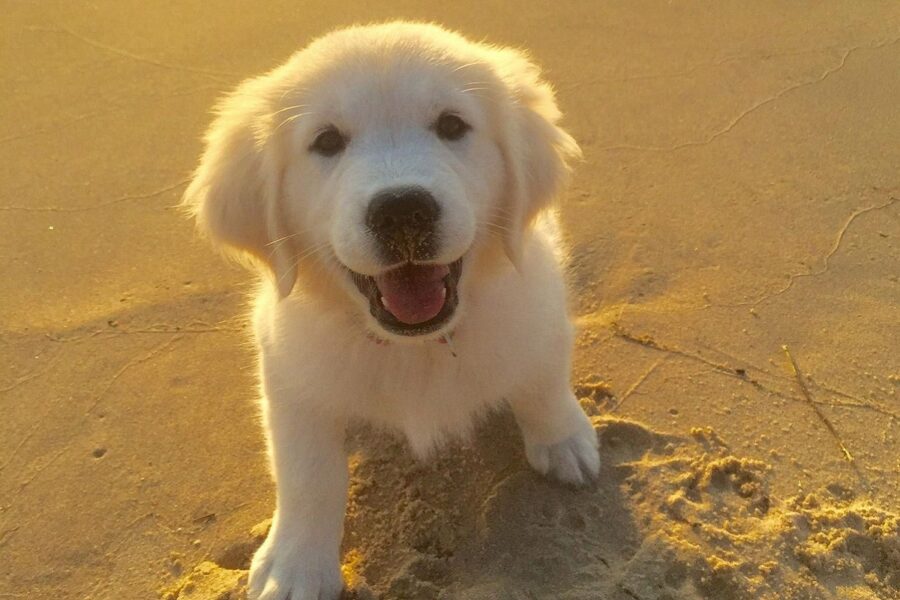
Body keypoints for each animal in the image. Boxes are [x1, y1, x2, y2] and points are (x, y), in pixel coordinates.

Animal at [185, 19, 596, 600]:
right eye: (327, 141)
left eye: (452, 125)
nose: (403, 210)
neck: (417, 346)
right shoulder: (290, 373)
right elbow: (308, 474)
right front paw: (295, 564)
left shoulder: (537, 310)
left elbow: (543, 381)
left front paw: (564, 441)